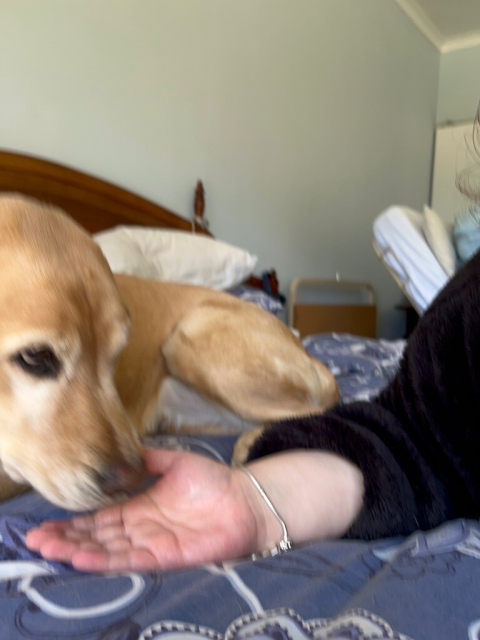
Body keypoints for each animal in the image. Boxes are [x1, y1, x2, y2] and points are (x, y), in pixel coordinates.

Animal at [0, 195, 340, 510]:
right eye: (35, 356)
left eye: (116, 354)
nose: (134, 480)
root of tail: (301, 347)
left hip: (190, 338)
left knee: (321, 410)